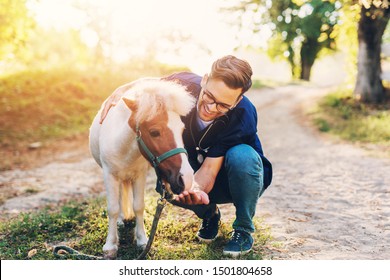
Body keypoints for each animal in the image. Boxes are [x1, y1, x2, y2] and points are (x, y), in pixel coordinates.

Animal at [90, 77, 197, 260]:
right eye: (154, 132)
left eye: (182, 129)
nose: (186, 178)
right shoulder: (109, 175)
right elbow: (112, 209)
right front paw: (110, 245)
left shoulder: (139, 176)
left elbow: (138, 207)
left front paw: (141, 240)